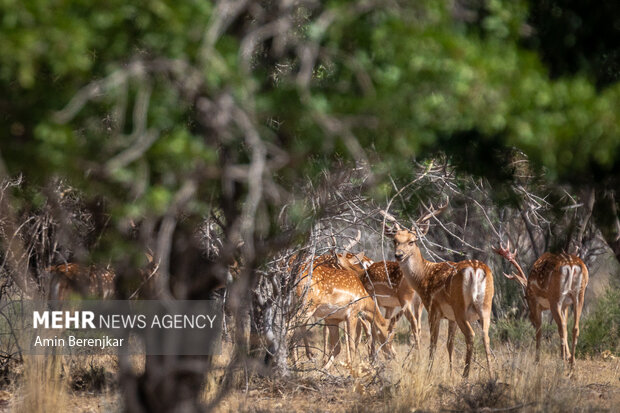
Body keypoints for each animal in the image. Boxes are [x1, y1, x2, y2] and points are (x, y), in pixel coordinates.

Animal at [382, 201, 494, 378]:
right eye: (395, 240)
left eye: (412, 241)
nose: (398, 255)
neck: (423, 277)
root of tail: (476, 270)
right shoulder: (451, 317)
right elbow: (449, 344)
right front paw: (450, 372)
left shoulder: (433, 308)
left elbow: (433, 343)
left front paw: (428, 372)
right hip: (485, 306)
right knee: (486, 336)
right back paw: (491, 376)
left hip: (460, 307)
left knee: (471, 335)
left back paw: (465, 375)